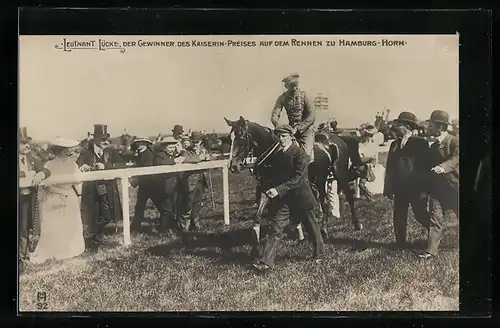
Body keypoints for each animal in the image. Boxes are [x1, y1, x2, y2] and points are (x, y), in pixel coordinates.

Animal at [224, 116, 364, 233]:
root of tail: (338, 140)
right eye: (229, 139)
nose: (233, 166)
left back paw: (355, 225)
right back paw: (324, 227)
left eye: (241, 137)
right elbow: (259, 212)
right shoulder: (267, 187)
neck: (275, 154)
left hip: (339, 175)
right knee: (324, 200)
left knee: (347, 197)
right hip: (320, 178)